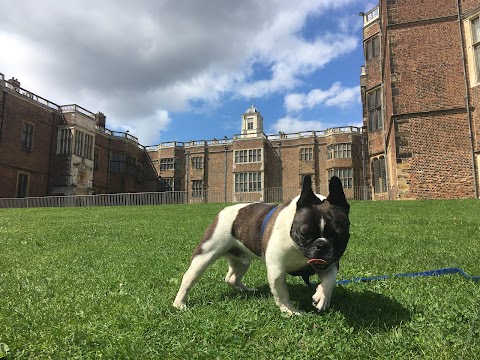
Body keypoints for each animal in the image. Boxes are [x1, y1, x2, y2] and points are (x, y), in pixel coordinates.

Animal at [172, 176, 348, 314]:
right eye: (304, 234)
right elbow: (282, 292)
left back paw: (247, 290)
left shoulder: (331, 262)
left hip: (241, 261)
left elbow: (330, 280)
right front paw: (290, 311)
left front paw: (322, 297)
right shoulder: (277, 269)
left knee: (231, 278)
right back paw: (179, 303)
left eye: (339, 235)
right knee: (189, 277)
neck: (299, 250)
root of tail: (224, 210)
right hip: (205, 254)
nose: (321, 245)